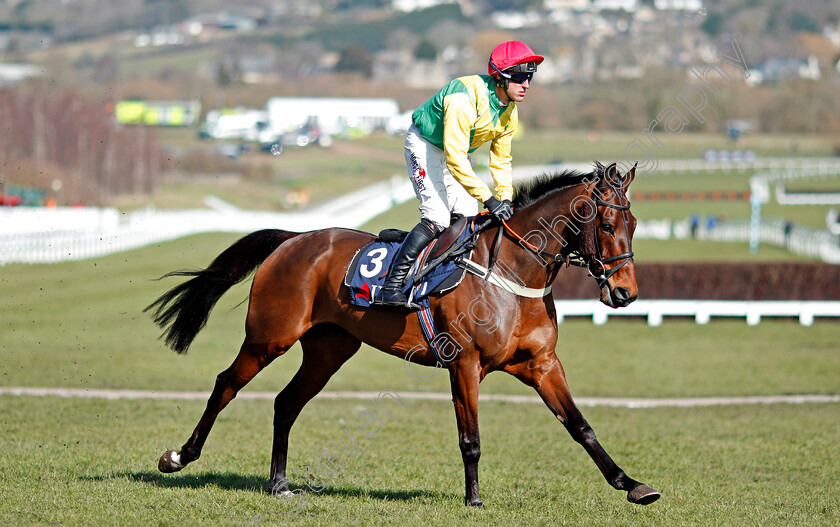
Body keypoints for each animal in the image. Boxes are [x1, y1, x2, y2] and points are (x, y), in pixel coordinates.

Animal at [151, 160, 664, 508]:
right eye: (606, 224)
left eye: (634, 223)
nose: (626, 293)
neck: (513, 274)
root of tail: (294, 238)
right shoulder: (465, 363)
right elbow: (471, 438)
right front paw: (473, 499)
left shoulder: (540, 364)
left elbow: (581, 426)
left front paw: (632, 485)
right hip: (268, 337)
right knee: (226, 384)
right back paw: (179, 456)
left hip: (328, 350)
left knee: (286, 403)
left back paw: (279, 484)